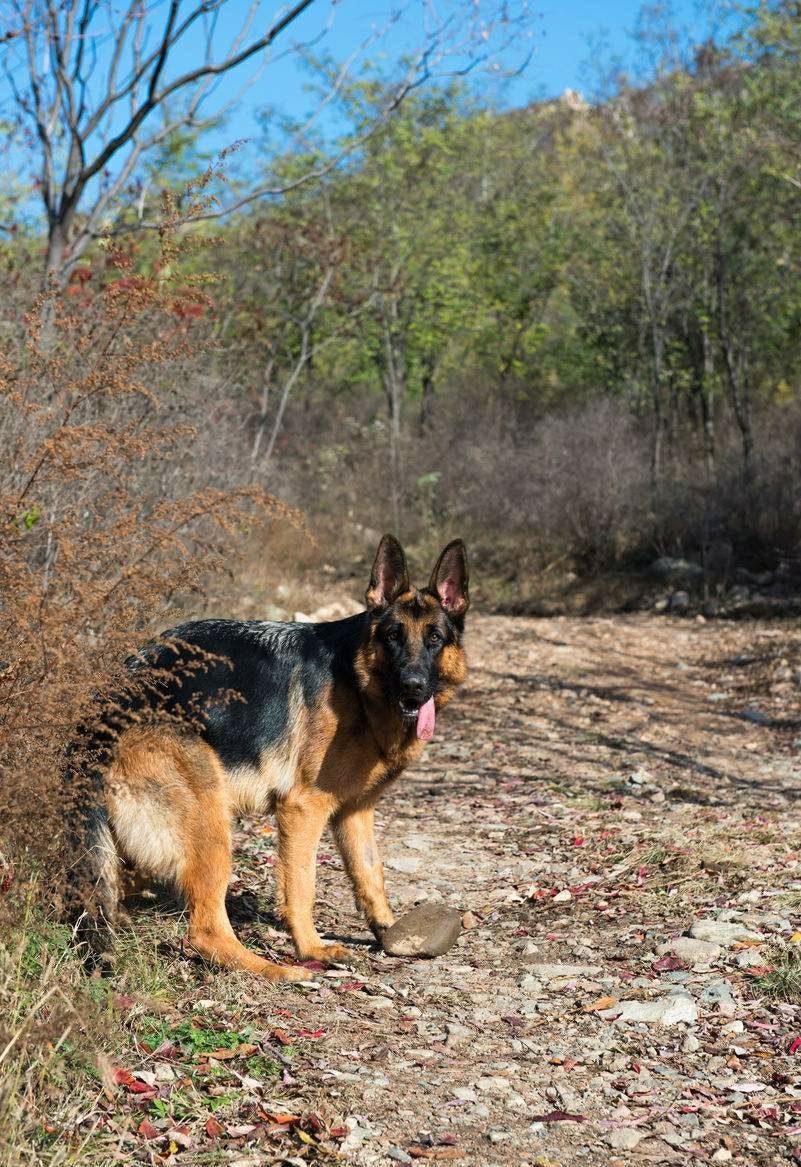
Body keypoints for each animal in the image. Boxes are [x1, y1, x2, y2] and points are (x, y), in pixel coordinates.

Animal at [68, 534, 474, 980]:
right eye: (394, 636)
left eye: (435, 637)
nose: (413, 687)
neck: (357, 681)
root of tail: (99, 716)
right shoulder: (303, 809)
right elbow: (302, 886)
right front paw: (312, 948)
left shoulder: (356, 812)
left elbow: (371, 874)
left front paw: (389, 931)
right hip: (212, 826)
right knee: (205, 930)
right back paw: (278, 970)